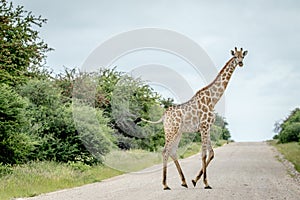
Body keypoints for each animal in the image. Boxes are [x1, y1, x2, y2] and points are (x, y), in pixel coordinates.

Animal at [137, 47, 247, 191]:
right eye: (235, 56)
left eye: (242, 56)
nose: (240, 63)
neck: (213, 99)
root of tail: (164, 116)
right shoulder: (204, 126)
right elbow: (204, 154)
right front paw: (206, 183)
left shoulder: (207, 127)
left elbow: (211, 153)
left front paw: (195, 180)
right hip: (171, 131)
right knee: (165, 151)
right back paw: (165, 184)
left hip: (178, 132)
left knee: (172, 151)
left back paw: (184, 182)